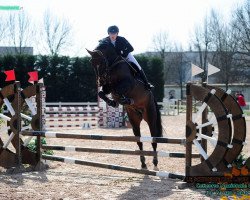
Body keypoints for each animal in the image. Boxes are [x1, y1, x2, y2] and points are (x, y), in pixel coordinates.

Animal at [87, 41, 163, 170]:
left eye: (101, 62)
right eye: (91, 63)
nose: (100, 81)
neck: (112, 65)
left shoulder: (128, 83)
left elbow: (118, 91)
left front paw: (124, 100)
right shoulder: (108, 87)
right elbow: (102, 93)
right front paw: (113, 102)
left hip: (151, 117)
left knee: (154, 139)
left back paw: (155, 162)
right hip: (134, 120)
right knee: (139, 140)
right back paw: (143, 163)